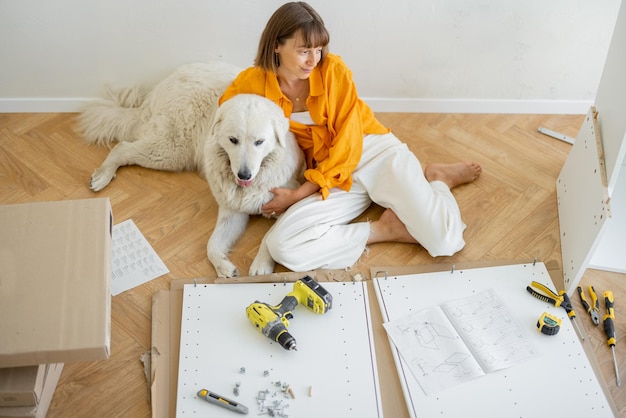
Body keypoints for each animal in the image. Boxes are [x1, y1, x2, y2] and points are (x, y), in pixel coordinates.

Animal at [79, 62, 304, 278]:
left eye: (259, 142)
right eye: (233, 140)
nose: (244, 175)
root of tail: (163, 84)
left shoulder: (283, 205)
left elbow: (269, 238)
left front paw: (260, 266)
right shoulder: (231, 210)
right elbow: (211, 245)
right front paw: (224, 267)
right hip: (170, 152)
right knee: (122, 147)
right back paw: (102, 176)